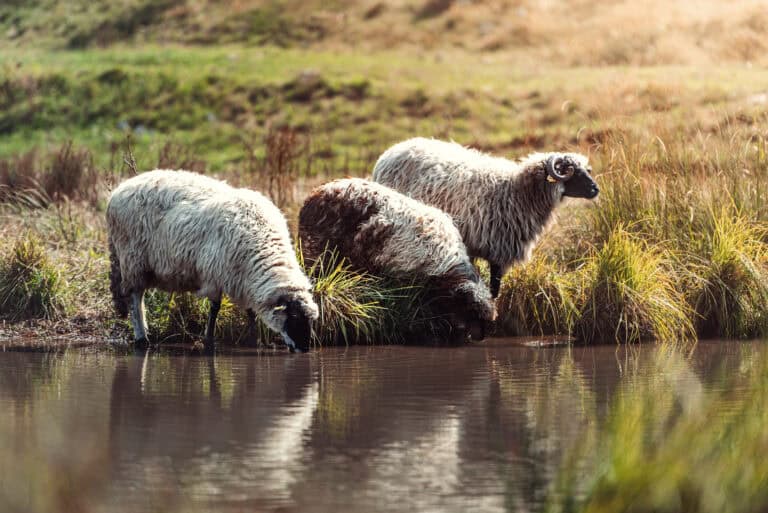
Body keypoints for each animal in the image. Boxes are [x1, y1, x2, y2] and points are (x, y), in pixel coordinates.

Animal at [107, 169, 319, 352]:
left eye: (311, 320)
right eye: (293, 316)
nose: (304, 349)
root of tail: (118, 191)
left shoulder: (243, 280)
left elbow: (250, 312)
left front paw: (254, 340)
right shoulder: (214, 275)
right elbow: (215, 308)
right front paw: (209, 340)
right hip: (132, 260)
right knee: (134, 299)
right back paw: (142, 338)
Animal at [372, 137, 599, 298]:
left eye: (585, 170)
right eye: (572, 172)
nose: (595, 189)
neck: (515, 192)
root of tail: (391, 151)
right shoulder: (497, 252)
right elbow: (493, 292)